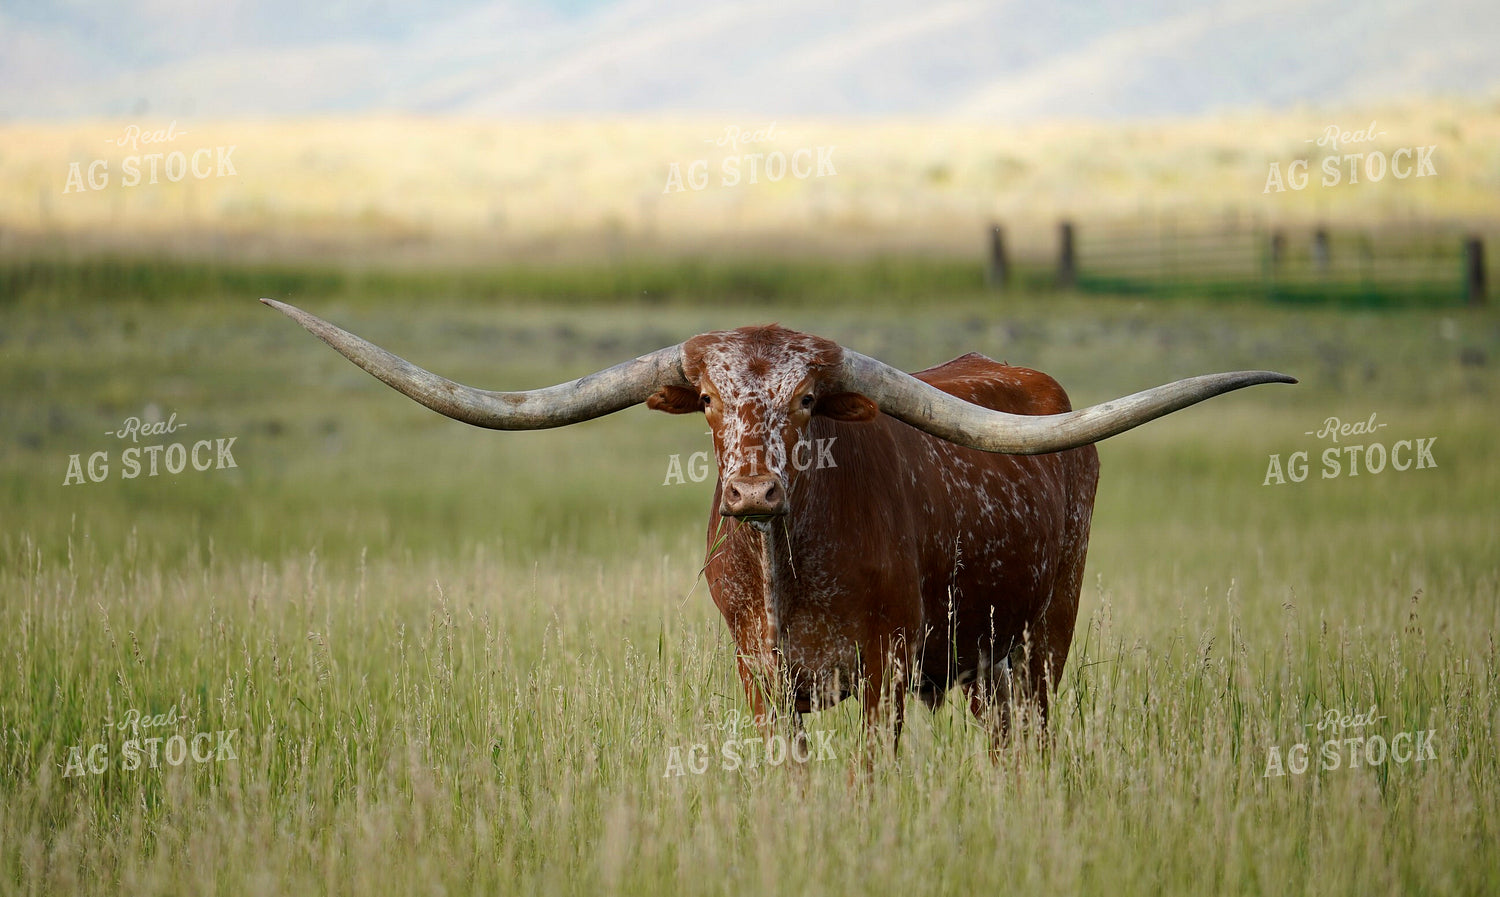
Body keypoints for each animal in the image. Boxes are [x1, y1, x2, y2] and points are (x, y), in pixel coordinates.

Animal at [262, 299, 1294, 756]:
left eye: (803, 400)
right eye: (716, 400)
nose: (754, 491)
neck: (784, 569)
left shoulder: (883, 670)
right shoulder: (760, 678)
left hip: (1040, 644)